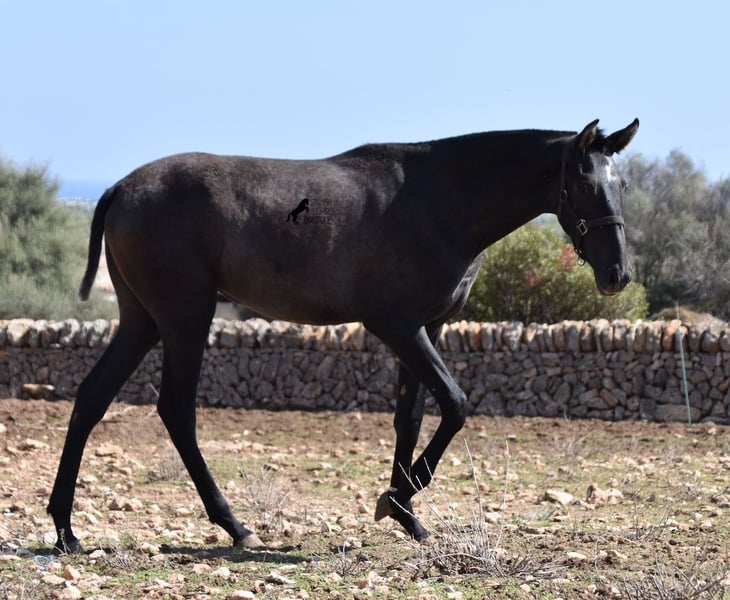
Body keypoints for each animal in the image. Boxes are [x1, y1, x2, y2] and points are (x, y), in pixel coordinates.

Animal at [48, 118, 639, 552]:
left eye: (623, 185)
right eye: (584, 185)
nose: (618, 274)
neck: (439, 201)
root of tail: (119, 188)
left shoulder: (427, 327)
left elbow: (412, 416)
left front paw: (407, 515)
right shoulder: (397, 326)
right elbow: (455, 404)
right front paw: (394, 500)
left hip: (142, 320)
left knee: (92, 398)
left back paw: (65, 529)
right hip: (184, 317)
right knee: (175, 410)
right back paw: (234, 526)